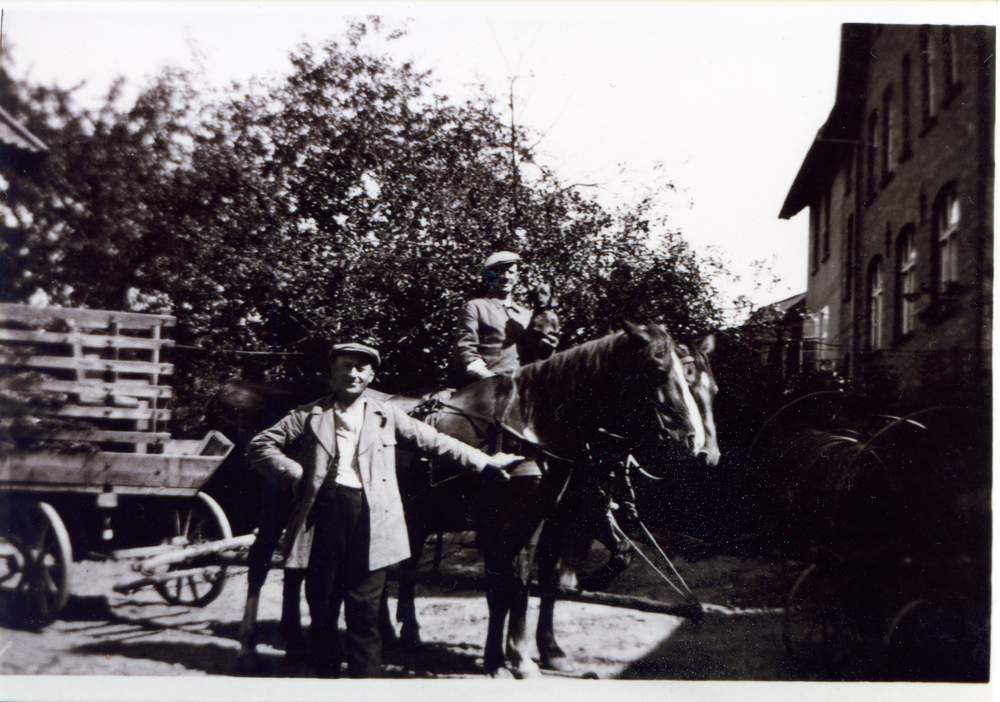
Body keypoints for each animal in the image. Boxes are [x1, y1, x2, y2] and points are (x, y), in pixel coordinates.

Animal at [386, 322, 708, 680]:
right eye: (656, 369)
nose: (695, 441)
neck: (532, 422)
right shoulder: (510, 521)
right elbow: (508, 583)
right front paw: (505, 659)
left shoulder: (552, 516)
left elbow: (540, 581)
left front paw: (540, 651)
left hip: (417, 518)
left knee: (403, 567)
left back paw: (406, 631)